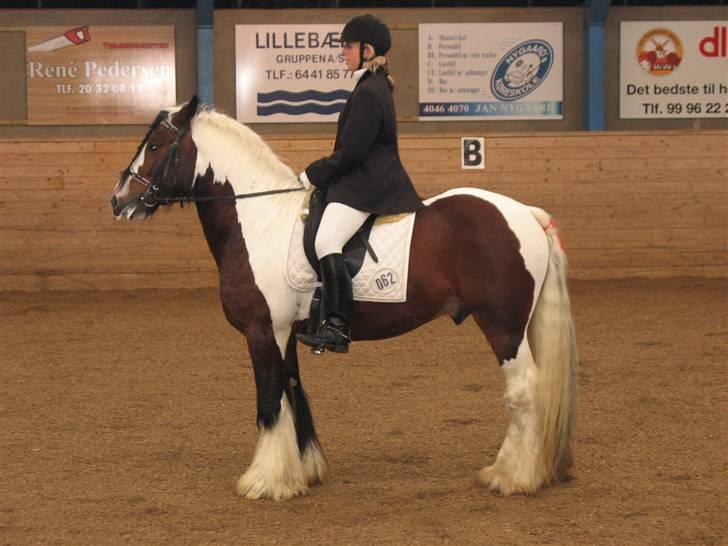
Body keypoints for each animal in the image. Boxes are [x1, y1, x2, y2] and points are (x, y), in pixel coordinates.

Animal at [108, 96, 576, 498]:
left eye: (156, 144)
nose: (118, 200)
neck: (260, 221)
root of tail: (525, 214)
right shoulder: (286, 332)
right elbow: (292, 392)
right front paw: (302, 471)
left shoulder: (262, 331)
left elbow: (269, 401)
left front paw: (264, 481)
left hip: (503, 327)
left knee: (523, 391)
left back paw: (511, 476)